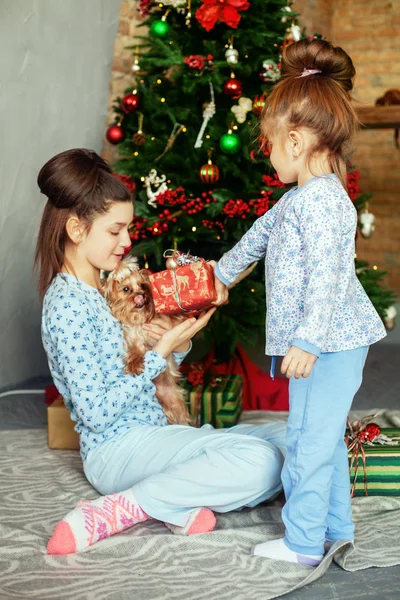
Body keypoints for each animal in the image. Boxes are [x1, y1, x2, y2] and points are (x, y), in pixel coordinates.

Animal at [102, 258, 191, 426]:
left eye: (142, 285)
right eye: (126, 289)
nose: (141, 295)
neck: (140, 319)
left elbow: (172, 316)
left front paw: (181, 313)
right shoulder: (133, 339)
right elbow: (135, 351)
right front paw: (134, 365)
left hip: (175, 403)